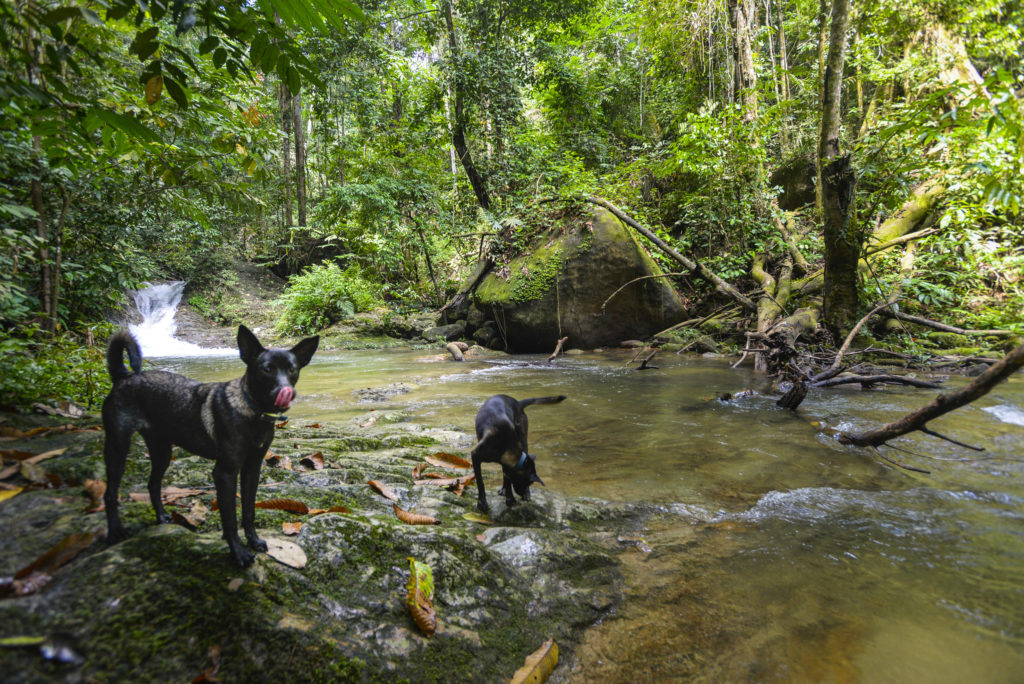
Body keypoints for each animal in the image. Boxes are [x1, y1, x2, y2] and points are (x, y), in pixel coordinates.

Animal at [100, 325, 315, 565]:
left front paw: (253, 541)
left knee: (153, 485)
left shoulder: (252, 468)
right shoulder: (225, 472)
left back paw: (162, 516)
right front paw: (238, 552)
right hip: (117, 446)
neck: (253, 413)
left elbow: (248, 511)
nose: (286, 392)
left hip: (162, 450)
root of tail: (124, 376)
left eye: (292, 370)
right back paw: (115, 532)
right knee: (110, 493)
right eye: (266, 369)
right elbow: (229, 518)